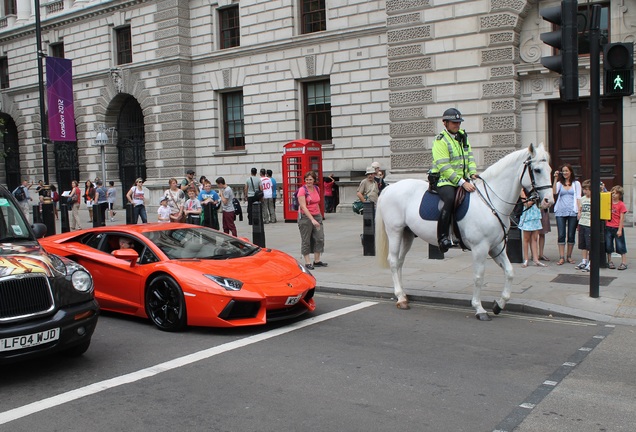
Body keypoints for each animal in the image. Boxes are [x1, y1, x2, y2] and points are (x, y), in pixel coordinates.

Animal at [376, 143, 556, 318]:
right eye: (537, 170)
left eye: (550, 169)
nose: (549, 201)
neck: (490, 201)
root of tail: (389, 188)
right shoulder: (480, 247)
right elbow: (478, 276)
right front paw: (479, 308)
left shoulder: (496, 246)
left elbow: (509, 272)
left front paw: (499, 305)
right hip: (395, 231)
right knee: (393, 261)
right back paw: (400, 297)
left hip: (407, 234)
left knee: (400, 261)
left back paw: (403, 295)